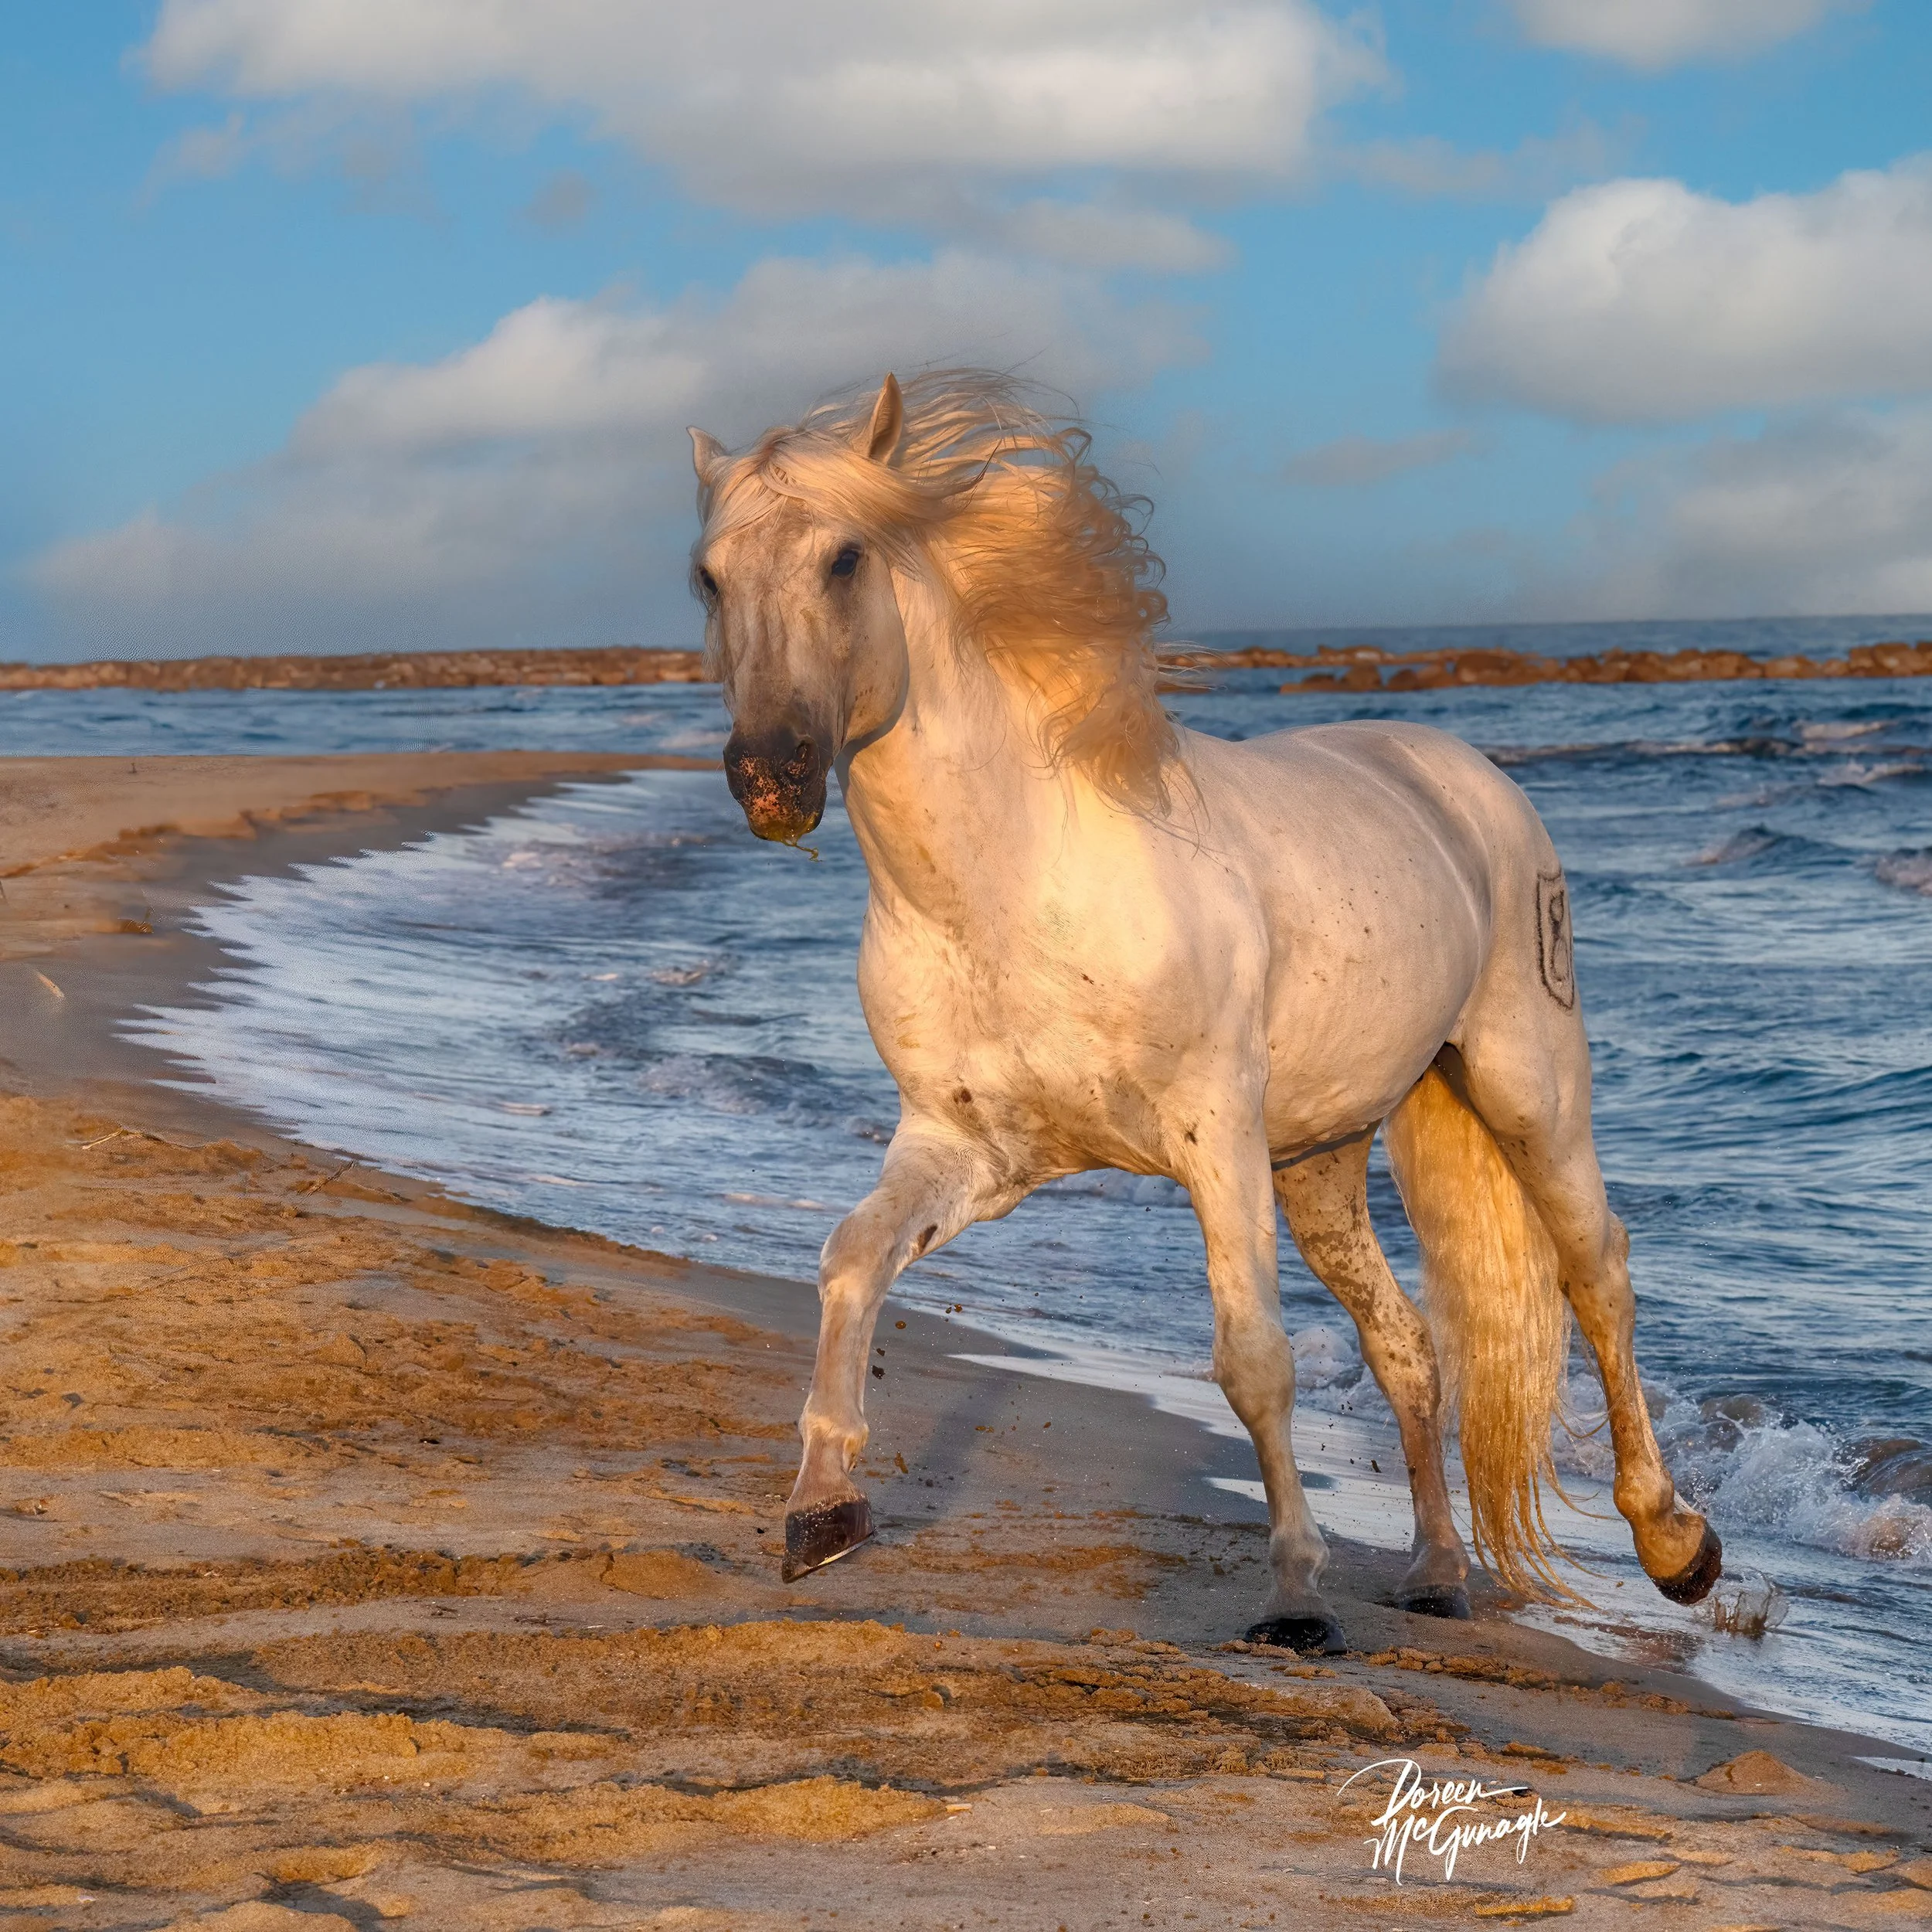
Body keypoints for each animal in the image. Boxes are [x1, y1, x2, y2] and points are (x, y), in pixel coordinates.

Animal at [684, 369, 1722, 1652]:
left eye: (845, 557)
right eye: (709, 576)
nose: (771, 777)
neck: (1011, 888)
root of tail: (1459, 774)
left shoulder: (1212, 1132)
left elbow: (1254, 1361)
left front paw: (1294, 1601)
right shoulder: (970, 1148)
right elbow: (849, 1261)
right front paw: (822, 1513)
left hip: (1527, 1088)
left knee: (1598, 1275)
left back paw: (1677, 1547)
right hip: (1321, 1160)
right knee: (1409, 1345)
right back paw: (1435, 1572)